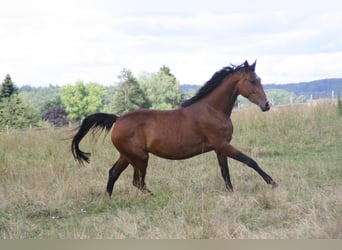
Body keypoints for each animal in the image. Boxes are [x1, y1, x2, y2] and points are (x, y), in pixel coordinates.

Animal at [71, 60, 278, 197]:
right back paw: (156, 197)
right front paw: (273, 183)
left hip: (127, 156)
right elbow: (250, 161)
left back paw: (109, 199)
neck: (213, 109)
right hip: (140, 157)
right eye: (252, 81)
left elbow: (225, 172)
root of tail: (118, 118)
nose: (267, 105)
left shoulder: (220, 149)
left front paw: (231, 192)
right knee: (137, 181)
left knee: (114, 173)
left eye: (259, 79)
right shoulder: (223, 145)